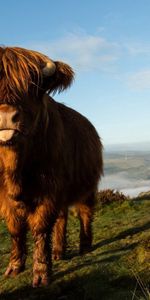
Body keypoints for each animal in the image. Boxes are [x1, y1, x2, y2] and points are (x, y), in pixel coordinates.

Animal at [0, 45, 103, 288]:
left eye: (31, 87)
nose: (6, 116)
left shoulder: (49, 189)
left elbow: (40, 227)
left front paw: (41, 272)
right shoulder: (4, 195)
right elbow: (15, 228)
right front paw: (14, 267)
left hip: (87, 186)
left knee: (85, 212)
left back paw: (85, 246)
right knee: (62, 217)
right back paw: (58, 251)